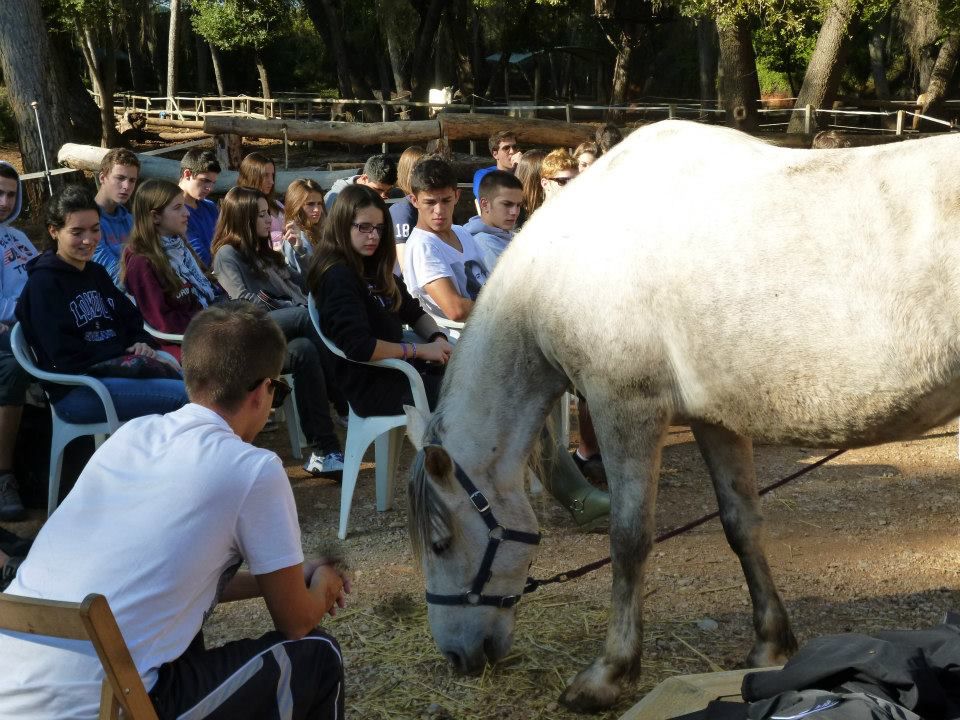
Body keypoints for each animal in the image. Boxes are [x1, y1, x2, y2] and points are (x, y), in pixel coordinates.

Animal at [403, 119, 960, 712]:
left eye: (440, 543)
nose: (457, 656)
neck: (571, 261)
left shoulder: (626, 409)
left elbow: (628, 540)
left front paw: (608, 675)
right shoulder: (716, 419)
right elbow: (742, 524)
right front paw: (771, 645)